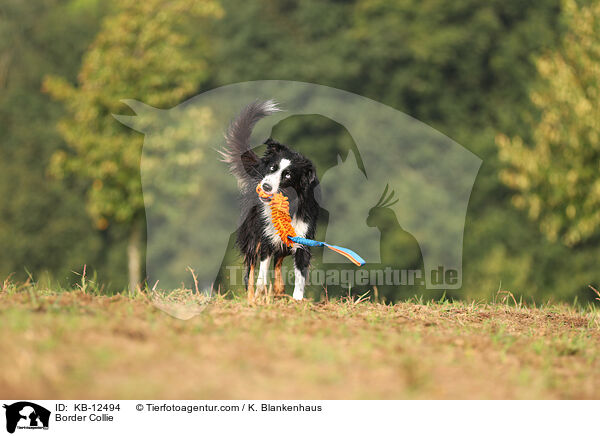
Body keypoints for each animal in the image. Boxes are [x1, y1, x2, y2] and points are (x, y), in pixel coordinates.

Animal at [220, 101, 318, 302]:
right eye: (272, 168)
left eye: (287, 175)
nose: (265, 186)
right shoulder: (265, 237)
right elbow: (261, 273)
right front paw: (260, 294)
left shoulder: (302, 237)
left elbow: (300, 276)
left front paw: (297, 301)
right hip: (252, 234)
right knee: (251, 269)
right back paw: (252, 299)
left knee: (278, 262)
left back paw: (279, 290)